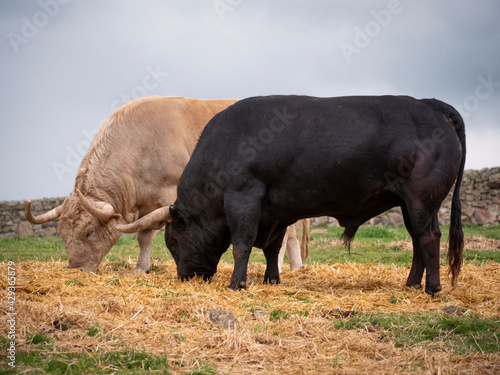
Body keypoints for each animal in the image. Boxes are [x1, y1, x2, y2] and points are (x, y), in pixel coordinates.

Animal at [165, 95, 464, 296]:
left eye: (174, 241)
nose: (185, 277)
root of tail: (429, 104)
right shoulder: (276, 211)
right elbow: (273, 248)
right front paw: (272, 279)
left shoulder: (244, 198)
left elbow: (242, 245)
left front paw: (236, 285)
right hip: (409, 205)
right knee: (416, 239)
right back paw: (411, 283)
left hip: (421, 199)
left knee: (428, 237)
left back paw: (431, 288)